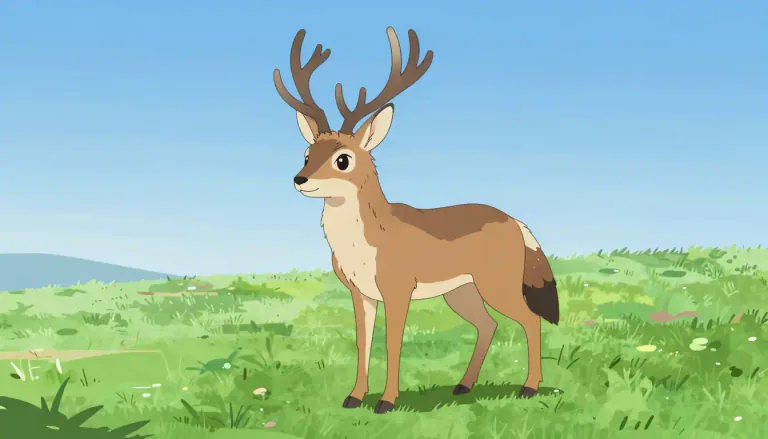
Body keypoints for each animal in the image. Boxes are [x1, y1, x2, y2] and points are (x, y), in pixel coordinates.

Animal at [273, 27, 560, 414]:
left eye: (343, 159)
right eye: (307, 154)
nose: (299, 179)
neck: (369, 242)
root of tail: (518, 224)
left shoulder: (398, 287)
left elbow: (393, 342)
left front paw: (386, 402)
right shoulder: (360, 292)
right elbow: (363, 343)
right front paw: (353, 397)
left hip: (497, 282)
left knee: (529, 318)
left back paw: (528, 388)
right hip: (461, 291)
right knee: (489, 324)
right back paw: (463, 386)